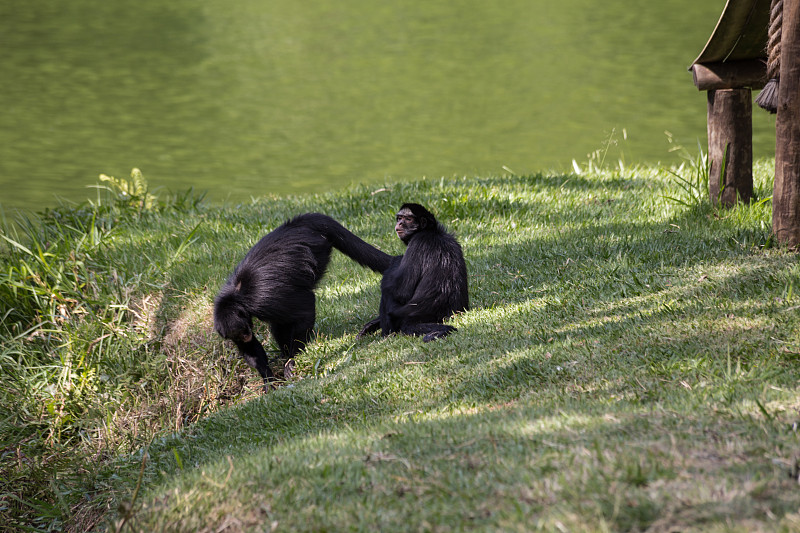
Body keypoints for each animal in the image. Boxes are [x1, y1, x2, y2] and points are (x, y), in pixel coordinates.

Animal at [211, 212, 390, 390]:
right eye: (239, 335)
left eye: (243, 330)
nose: (246, 335)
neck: (237, 297)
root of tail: (298, 223)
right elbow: (249, 348)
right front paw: (268, 379)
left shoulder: (263, 300)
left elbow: (306, 308)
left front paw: (292, 360)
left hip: (317, 251)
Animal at [358, 202, 468, 342]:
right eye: (400, 218)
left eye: (408, 219)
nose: (400, 223)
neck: (432, 232)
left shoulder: (417, 242)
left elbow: (400, 292)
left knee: (388, 292)